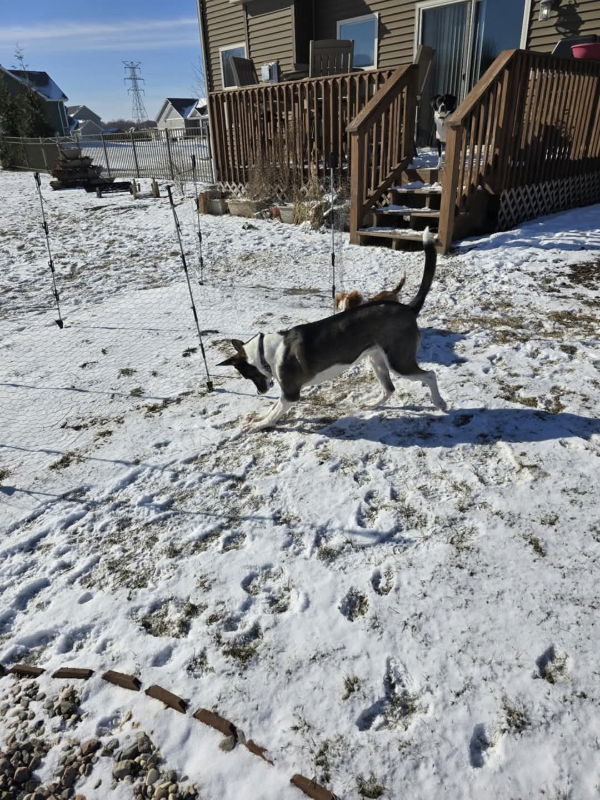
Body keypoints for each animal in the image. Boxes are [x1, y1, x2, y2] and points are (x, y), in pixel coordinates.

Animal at [218, 228, 448, 428]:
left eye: (247, 375)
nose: (260, 393)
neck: (266, 352)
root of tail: (408, 308)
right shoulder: (285, 393)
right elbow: (272, 408)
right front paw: (259, 417)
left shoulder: (291, 394)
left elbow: (274, 412)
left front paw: (259, 425)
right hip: (376, 359)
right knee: (389, 389)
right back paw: (371, 405)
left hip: (398, 361)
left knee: (430, 375)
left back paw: (440, 403)